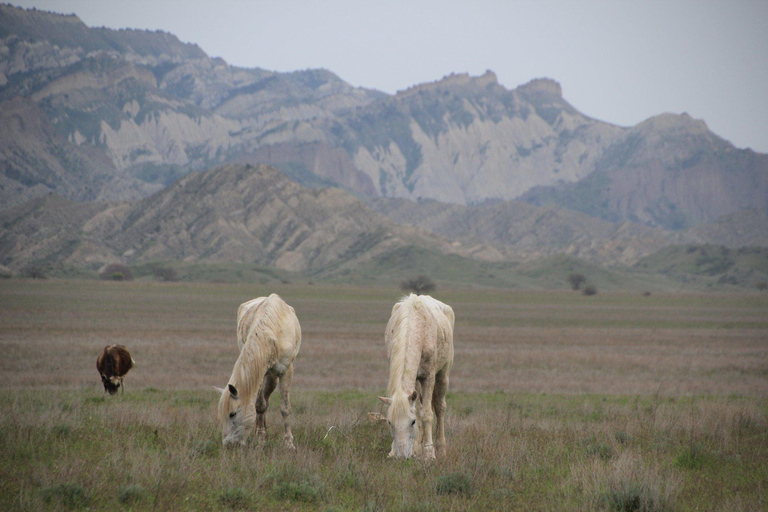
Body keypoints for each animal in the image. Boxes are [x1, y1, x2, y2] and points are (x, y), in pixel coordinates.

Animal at [216, 294, 304, 446]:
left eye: (232, 414)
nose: (228, 444)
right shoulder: (260, 374)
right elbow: (259, 405)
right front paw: (261, 438)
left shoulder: (286, 371)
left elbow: (285, 408)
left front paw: (288, 443)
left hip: (272, 378)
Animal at [380, 294, 452, 458]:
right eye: (389, 422)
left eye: (411, 422)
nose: (401, 457)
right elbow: (418, 411)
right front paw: (399, 450)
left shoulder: (429, 376)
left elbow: (426, 414)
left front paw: (429, 454)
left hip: (443, 374)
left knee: (440, 407)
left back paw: (441, 449)